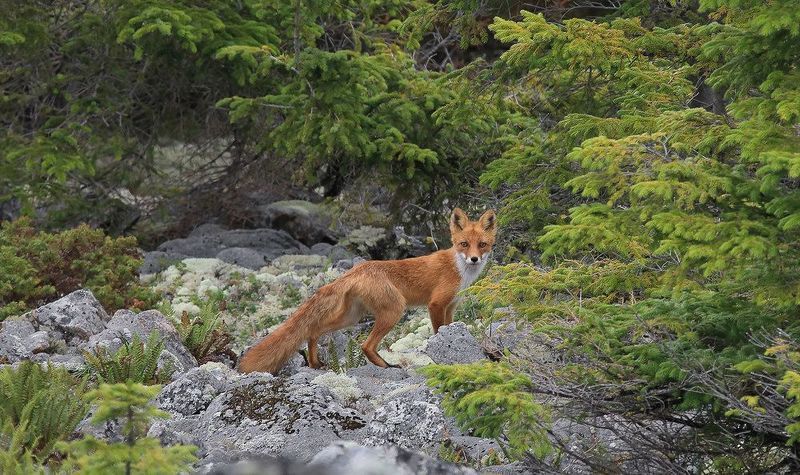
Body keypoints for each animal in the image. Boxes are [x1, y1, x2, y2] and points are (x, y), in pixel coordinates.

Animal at [238, 208, 497, 374]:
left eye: (482, 245)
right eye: (464, 244)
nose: (474, 259)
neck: (460, 270)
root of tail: (358, 268)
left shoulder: (451, 307)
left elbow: (448, 327)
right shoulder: (436, 304)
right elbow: (437, 332)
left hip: (351, 317)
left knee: (313, 330)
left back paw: (315, 363)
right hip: (393, 311)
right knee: (365, 346)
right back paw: (386, 366)